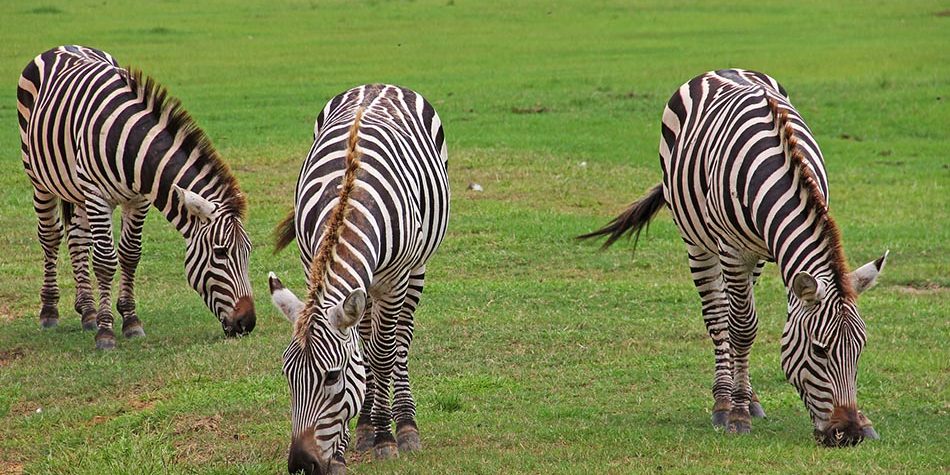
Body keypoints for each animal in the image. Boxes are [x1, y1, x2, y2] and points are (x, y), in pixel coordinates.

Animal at [16, 45, 256, 350]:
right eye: (221, 252)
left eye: (248, 251)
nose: (247, 323)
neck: (131, 145)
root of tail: (64, 46)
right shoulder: (98, 195)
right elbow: (105, 261)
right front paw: (106, 332)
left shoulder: (138, 199)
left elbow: (130, 254)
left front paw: (130, 321)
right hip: (39, 179)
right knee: (50, 236)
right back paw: (50, 311)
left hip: (77, 190)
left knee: (78, 239)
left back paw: (87, 311)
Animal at [268, 84, 449, 474]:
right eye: (287, 375)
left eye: (332, 377)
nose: (301, 465)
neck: (348, 199)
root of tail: (381, 85)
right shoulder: (311, 264)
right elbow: (362, 353)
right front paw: (344, 449)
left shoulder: (394, 280)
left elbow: (382, 355)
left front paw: (385, 438)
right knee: (365, 337)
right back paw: (365, 425)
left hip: (416, 269)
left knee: (401, 341)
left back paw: (405, 424)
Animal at [580, 69, 887, 446]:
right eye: (819, 350)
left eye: (860, 348)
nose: (850, 434)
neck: (777, 178)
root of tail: (720, 70)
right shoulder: (731, 249)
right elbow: (741, 328)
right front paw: (736, 414)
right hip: (698, 242)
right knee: (718, 318)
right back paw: (724, 400)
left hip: (753, 258)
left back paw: (749, 396)